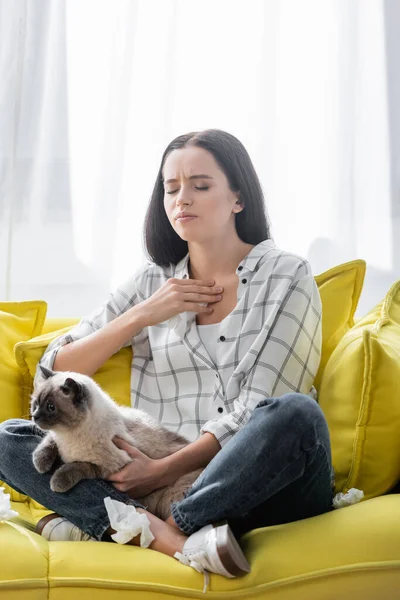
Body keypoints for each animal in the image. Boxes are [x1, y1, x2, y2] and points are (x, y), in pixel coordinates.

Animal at [30, 366, 203, 520]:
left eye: (51, 407)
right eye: (36, 404)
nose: (34, 416)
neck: (69, 435)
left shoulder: (109, 468)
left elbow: (78, 466)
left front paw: (57, 481)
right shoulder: (56, 439)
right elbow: (48, 442)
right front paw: (41, 465)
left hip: (172, 497)